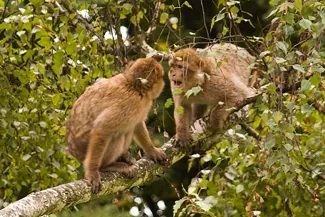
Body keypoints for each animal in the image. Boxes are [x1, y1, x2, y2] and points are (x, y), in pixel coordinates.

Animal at [66, 56, 167, 192]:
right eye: (161, 77)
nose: (164, 83)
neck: (134, 86)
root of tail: (73, 151)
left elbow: (137, 124)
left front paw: (152, 150)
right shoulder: (130, 103)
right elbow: (102, 128)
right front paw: (92, 172)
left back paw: (123, 157)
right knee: (116, 134)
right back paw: (106, 166)